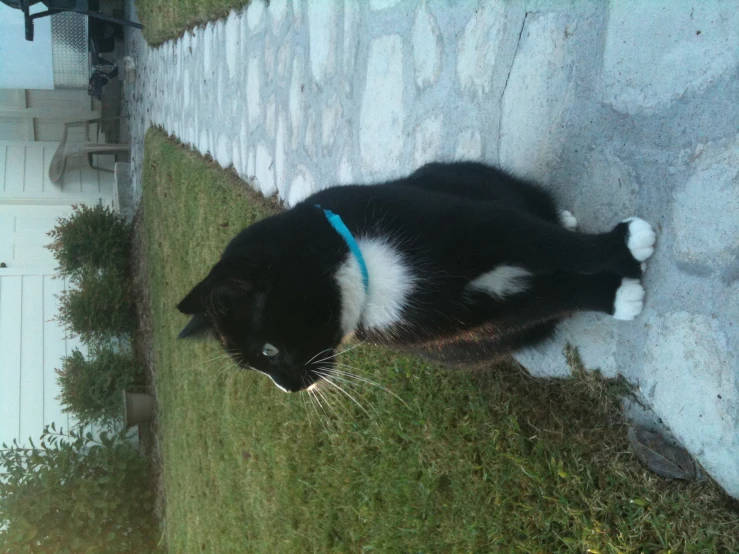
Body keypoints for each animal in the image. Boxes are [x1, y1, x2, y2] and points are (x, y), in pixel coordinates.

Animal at [176, 162, 656, 390]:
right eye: (257, 365)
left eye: (269, 350)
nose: (289, 388)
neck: (365, 270)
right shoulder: (464, 323)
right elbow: (544, 300)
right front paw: (616, 294)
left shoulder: (479, 225)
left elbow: (548, 244)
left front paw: (623, 246)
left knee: (534, 212)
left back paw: (562, 217)